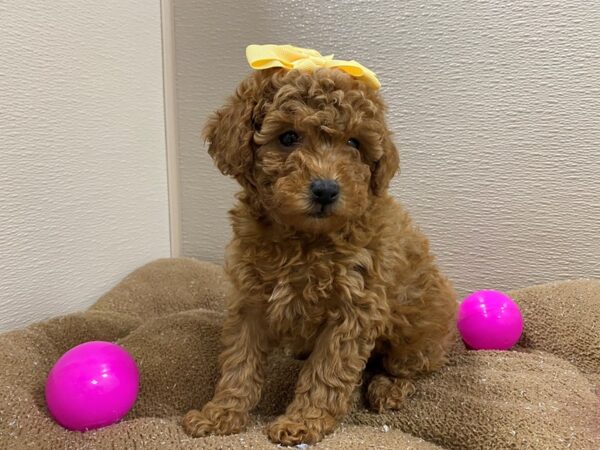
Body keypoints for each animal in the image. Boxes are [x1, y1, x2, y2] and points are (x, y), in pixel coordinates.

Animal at [183, 64, 454, 446]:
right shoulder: (250, 299)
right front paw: (221, 413)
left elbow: (326, 371)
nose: (326, 189)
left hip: (416, 330)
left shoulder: (354, 308)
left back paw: (388, 388)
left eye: (354, 143)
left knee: (412, 366)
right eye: (288, 138)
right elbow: (239, 361)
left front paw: (303, 422)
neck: (303, 238)